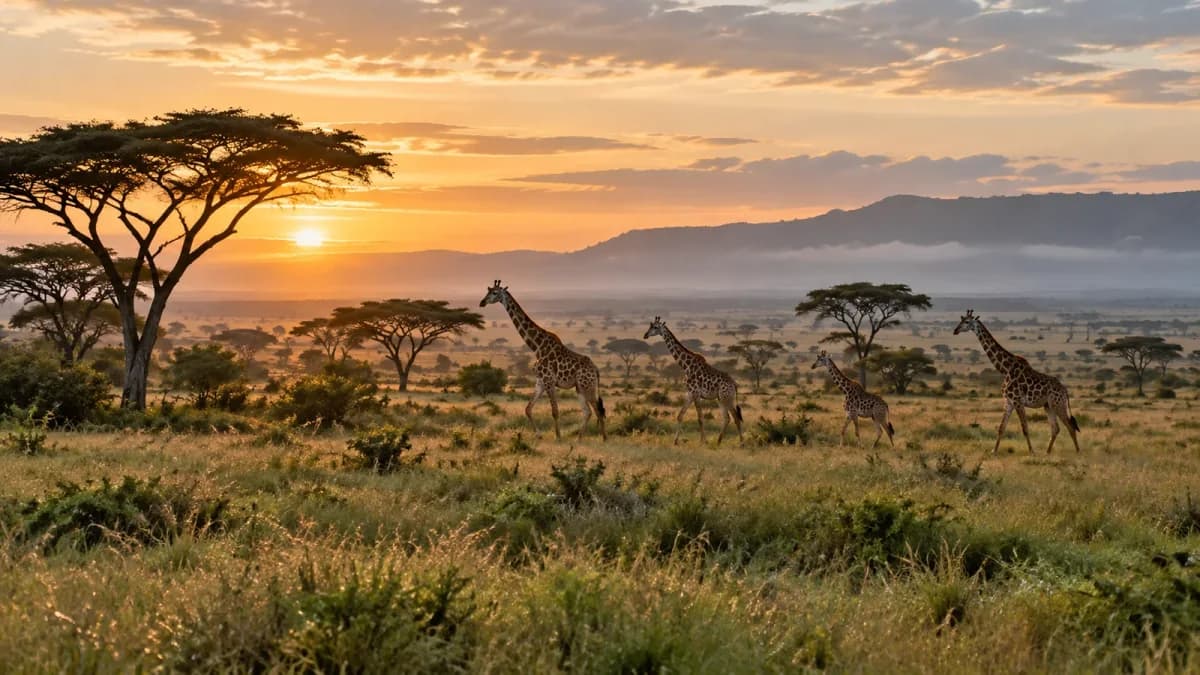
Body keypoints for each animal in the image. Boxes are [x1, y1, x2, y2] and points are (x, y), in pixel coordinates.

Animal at [480, 281, 606, 441]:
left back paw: (604, 438)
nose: (482, 302)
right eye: (487, 291)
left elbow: (555, 411)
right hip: (580, 387)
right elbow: (528, 409)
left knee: (597, 410)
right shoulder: (540, 381)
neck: (537, 347)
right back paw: (579, 439)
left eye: (495, 293)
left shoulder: (549, 380)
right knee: (588, 411)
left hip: (587, 385)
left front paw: (558, 437)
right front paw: (539, 435)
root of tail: (595, 369)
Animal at [644, 316, 743, 445]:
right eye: (650, 326)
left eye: (655, 327)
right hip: (720, 399)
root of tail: (734, 385)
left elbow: (700, 418)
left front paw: (703, 441)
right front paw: (675, 441)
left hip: (727, 398)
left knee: (736, 418)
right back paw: (718, 441)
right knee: (727, 418)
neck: (686, 366)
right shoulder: (690, 393)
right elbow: (680, 415)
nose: (645, 335)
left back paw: (741, 442)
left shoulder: (696, 393)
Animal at [953, 309, 1080, 454]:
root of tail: (1065, 391)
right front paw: (994, 451)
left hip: (1058, 404)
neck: (1005, 369)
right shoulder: (1008, 401)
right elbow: (1001, 428)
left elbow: (1025, 428)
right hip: (1049, 406)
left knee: (1070, 426)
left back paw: (1077, 452)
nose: (955, 330)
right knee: (1056, 428)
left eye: (967, 322)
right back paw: (1047, 452)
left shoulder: (1018, 401)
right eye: (961, 320)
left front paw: (1032, 451)